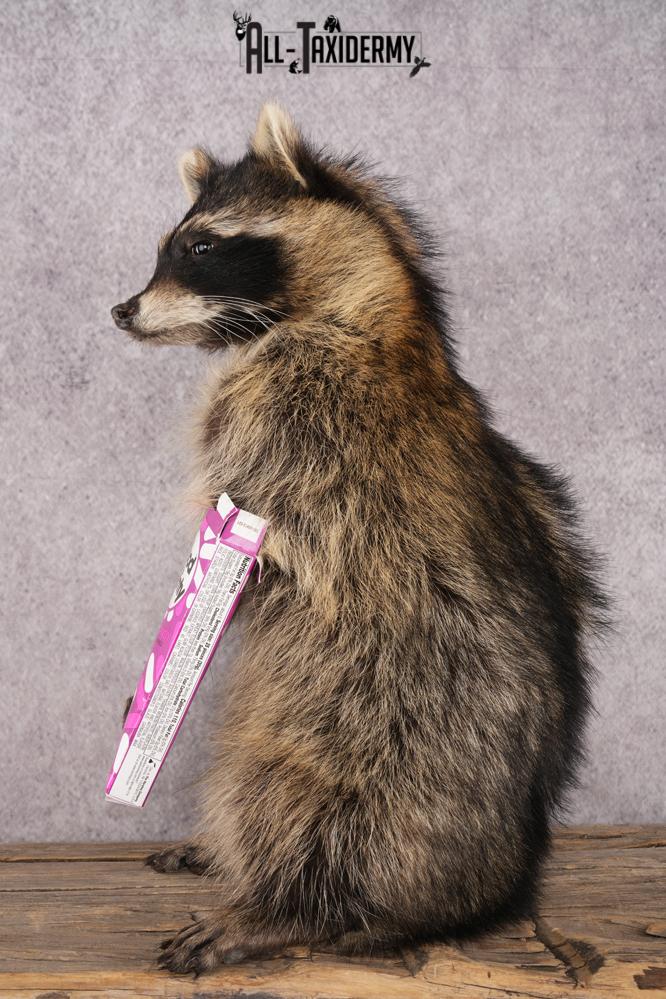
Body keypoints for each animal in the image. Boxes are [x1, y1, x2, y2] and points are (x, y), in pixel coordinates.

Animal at [112, 104, 605, 975]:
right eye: (170, 246)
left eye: (199, 247)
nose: (123, 310)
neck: (371, 302)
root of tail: (505, 876)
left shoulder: (299, 407)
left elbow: (265, 540)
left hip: (378, 731)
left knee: (293, 798)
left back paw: (282, 903)